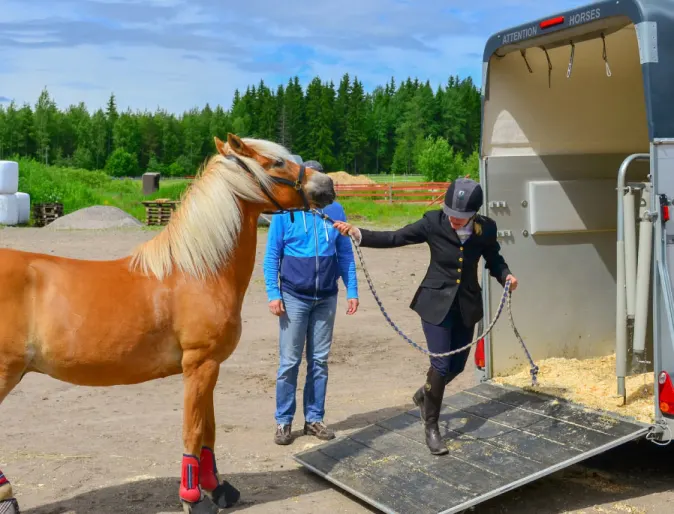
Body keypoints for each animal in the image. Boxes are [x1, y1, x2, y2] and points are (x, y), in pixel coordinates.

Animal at [0, 133, 334, 512]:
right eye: (277, 162)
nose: (327, 185)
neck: (199, 271)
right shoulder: (199, 365)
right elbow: (193, 430)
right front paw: (192, 498)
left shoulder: (209, 367)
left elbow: (209, 431)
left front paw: (217, 488)